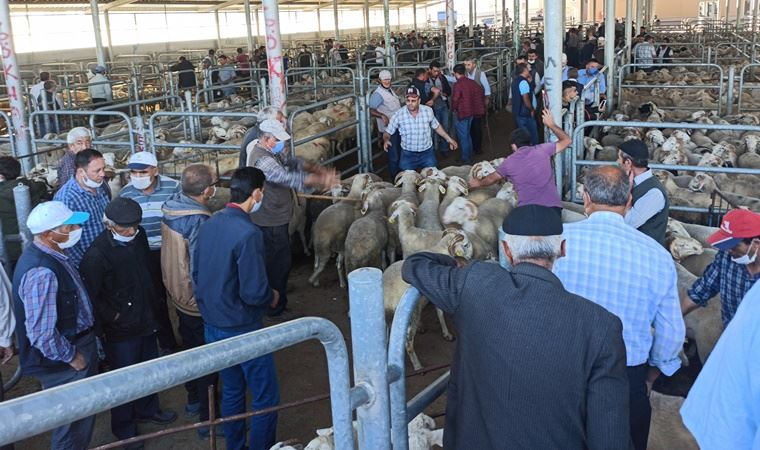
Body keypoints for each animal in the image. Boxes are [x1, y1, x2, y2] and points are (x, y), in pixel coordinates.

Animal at [382, 229, 472, 370]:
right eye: (466, 245)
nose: (470, 259)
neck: (442, 250)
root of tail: (387, 295)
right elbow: (440, 313)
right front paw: (447, 333)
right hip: (412, 312)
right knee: (408, 344)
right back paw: (418, 366)